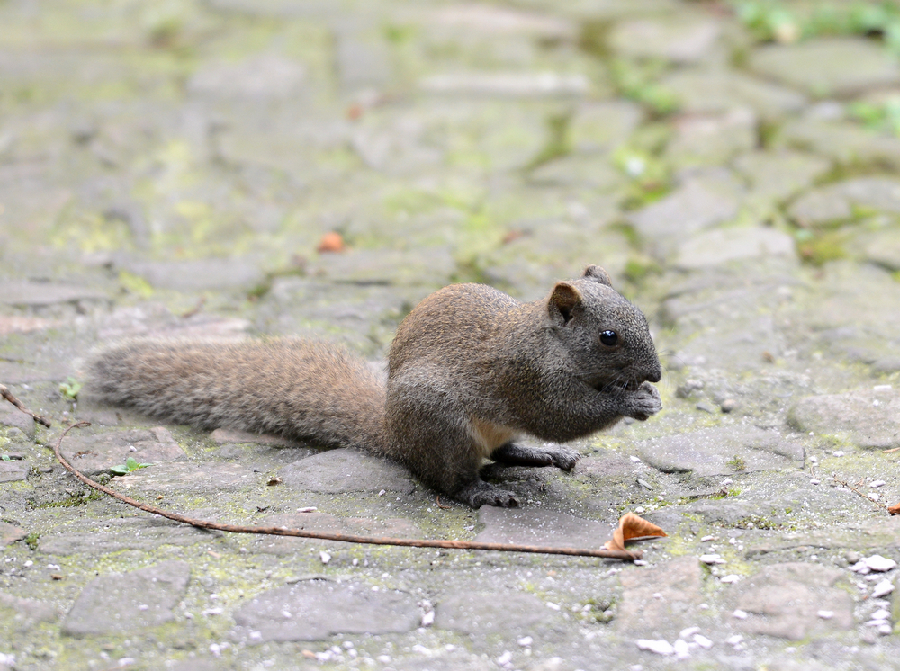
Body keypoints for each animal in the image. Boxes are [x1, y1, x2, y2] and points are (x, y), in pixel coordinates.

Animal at [89, 266, 660, 506]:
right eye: (608, 337)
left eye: (645, 317)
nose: (655, 375)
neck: (548, 341)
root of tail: (393, 432)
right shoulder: (528, 378)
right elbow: (563, 416)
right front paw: (632, 400)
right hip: (441, 426)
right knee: (450, 480)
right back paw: (482, 493)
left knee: (503, 451)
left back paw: (539, 456)